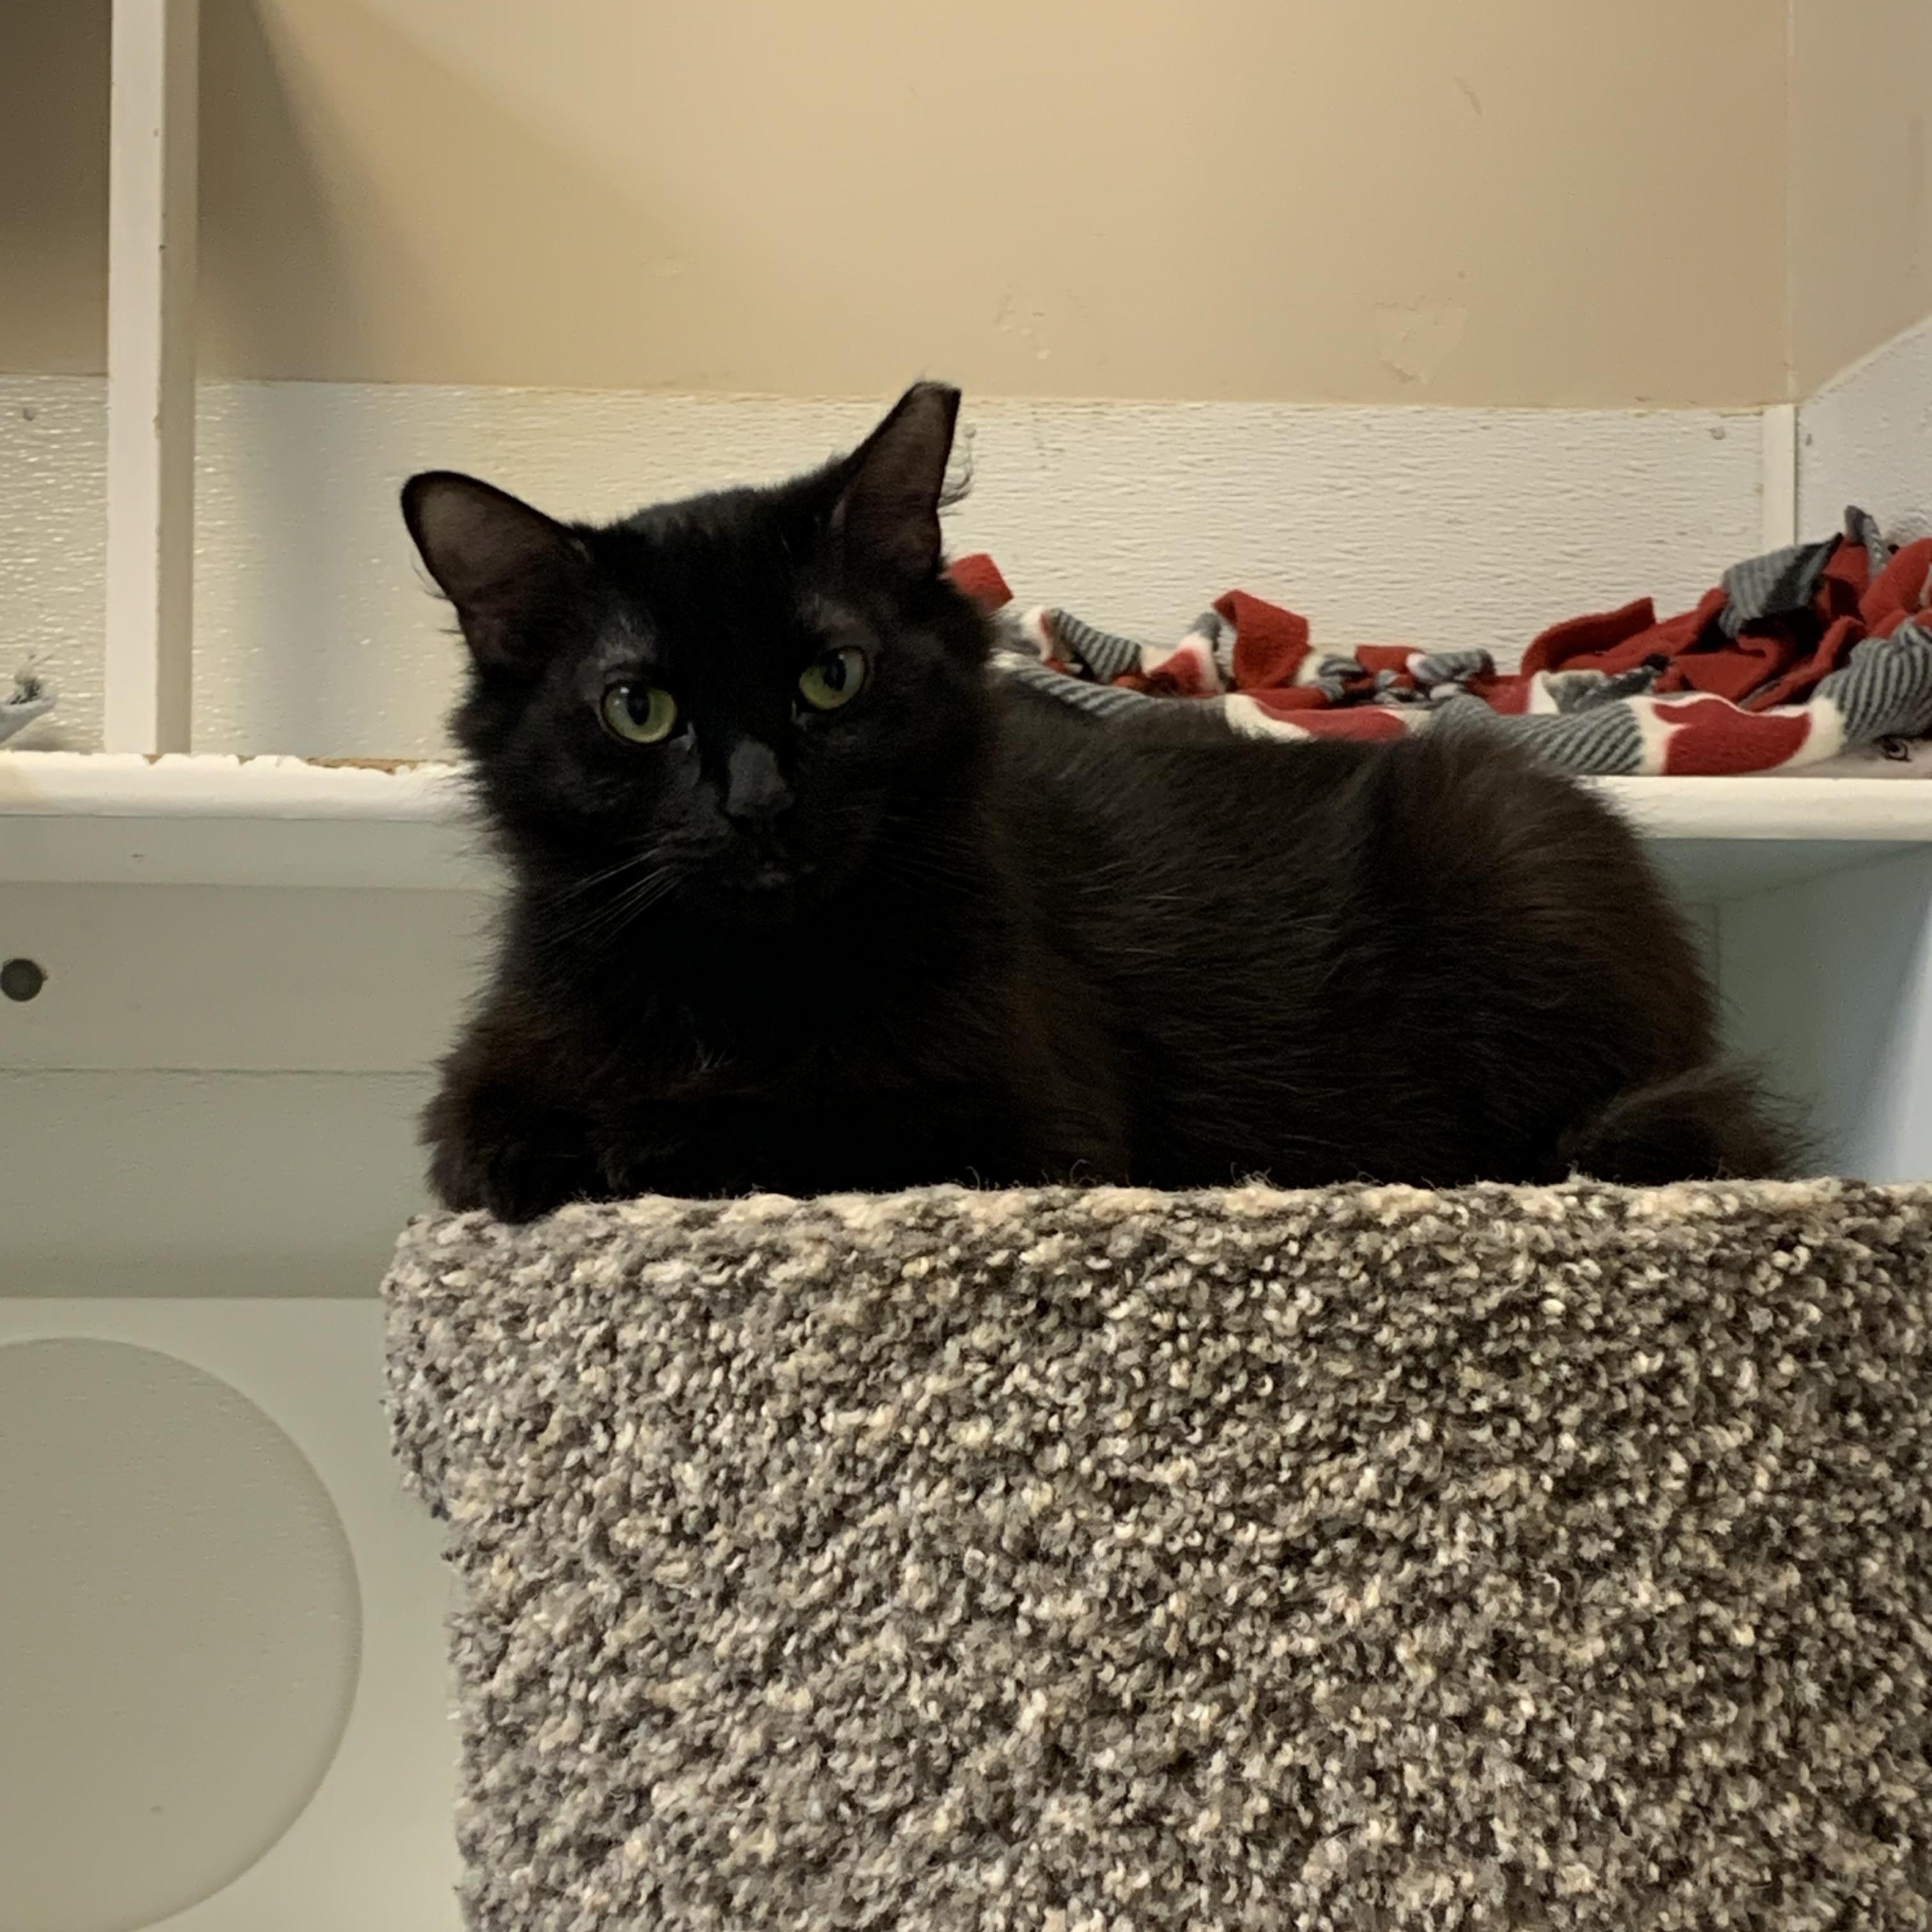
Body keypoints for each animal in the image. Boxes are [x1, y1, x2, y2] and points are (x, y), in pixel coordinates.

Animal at [402, 382, 1795, 1222]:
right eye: (638, 709)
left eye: (831, 677)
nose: (755, 803)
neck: (743, 990)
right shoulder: (475, 1094)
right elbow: (501, 1137)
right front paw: (598, 1142)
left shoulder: (1023, 1131)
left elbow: (804, 1130)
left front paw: (656, 1145)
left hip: (1499, 837)